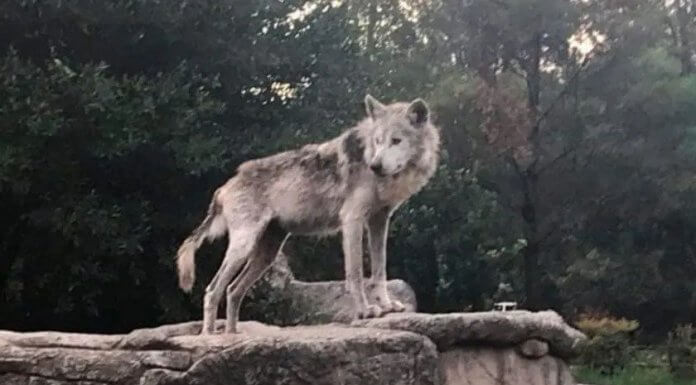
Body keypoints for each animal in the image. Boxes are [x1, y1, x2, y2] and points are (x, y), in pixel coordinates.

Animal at [177, 94, 444, 332]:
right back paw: (210, 337)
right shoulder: (352, 220)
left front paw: (387, 306)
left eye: (396, 141)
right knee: (213, 290)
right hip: (242, 247)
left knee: (233, 291)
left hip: (266, 255)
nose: (375, 166)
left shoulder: (379, 221)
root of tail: (225, 186)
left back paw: (233, 336)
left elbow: (380, 271)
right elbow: (356, 274)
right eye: (378, 141)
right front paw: (365, 311)